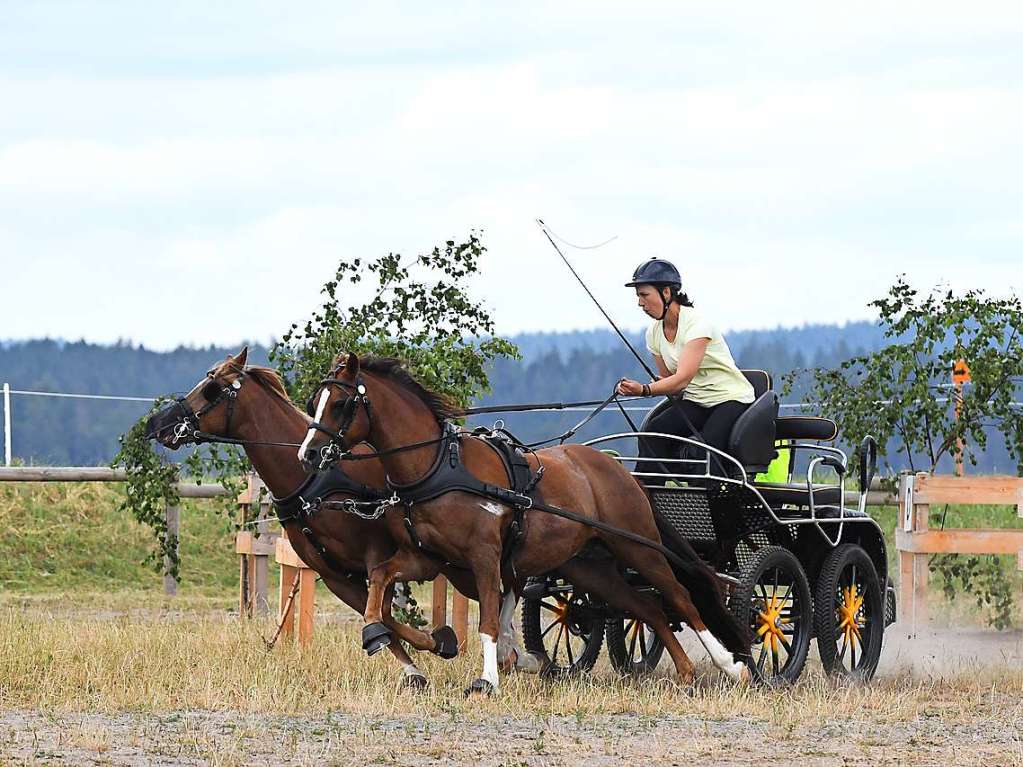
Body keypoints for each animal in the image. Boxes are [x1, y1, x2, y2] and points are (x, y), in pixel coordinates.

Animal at [146, 347, 544, 691]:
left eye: (211, 389)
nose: (157, 424)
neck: (314, 482)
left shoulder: (377, 554)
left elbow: (381, 608)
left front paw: (436, 643)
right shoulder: (334, 574)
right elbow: (382, 616)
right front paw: (417, 662)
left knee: (506, 592)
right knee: (506, 592)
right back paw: (519, 656)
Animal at [298, 353, 748, 695]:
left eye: (339, 405)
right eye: (314, 400)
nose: (309, 454)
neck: (436, 467)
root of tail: (622, 471)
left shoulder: (484, 556)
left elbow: (488, 620)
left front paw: (487, 680)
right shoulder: (424, 558)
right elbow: (378, 576)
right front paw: (374, 632)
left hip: (638, 545)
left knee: (680, 597)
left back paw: (731, 665)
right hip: (590, 568)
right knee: (648, 607)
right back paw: (686, 673)